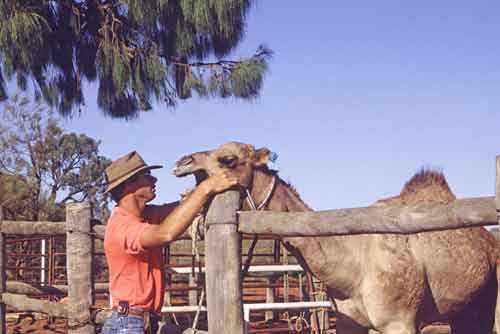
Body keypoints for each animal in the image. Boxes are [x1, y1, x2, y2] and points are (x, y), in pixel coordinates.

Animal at [173, 142, 500, 334]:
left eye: (227, 158)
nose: (182, 161)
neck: (352, 268)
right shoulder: (346, 321)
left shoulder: (400, 322)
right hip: (465, 307)